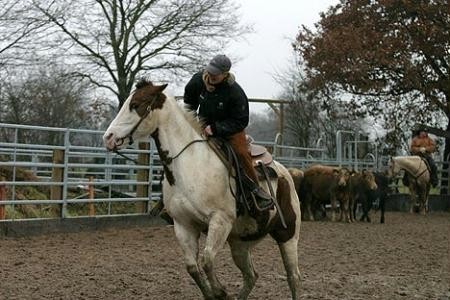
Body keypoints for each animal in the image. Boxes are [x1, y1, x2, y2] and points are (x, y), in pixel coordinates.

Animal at [103, 80, 300, 300]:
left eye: (136, 105)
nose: (108, 137)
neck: (190, 163)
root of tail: (285, 173)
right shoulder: (184, 225)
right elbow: (193, 267)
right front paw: (212, 293)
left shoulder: (220, 221)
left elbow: (207, 260)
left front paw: (221, 292)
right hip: (240, 242)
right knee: (251, 276)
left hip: (288, 235)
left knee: (293, 277)